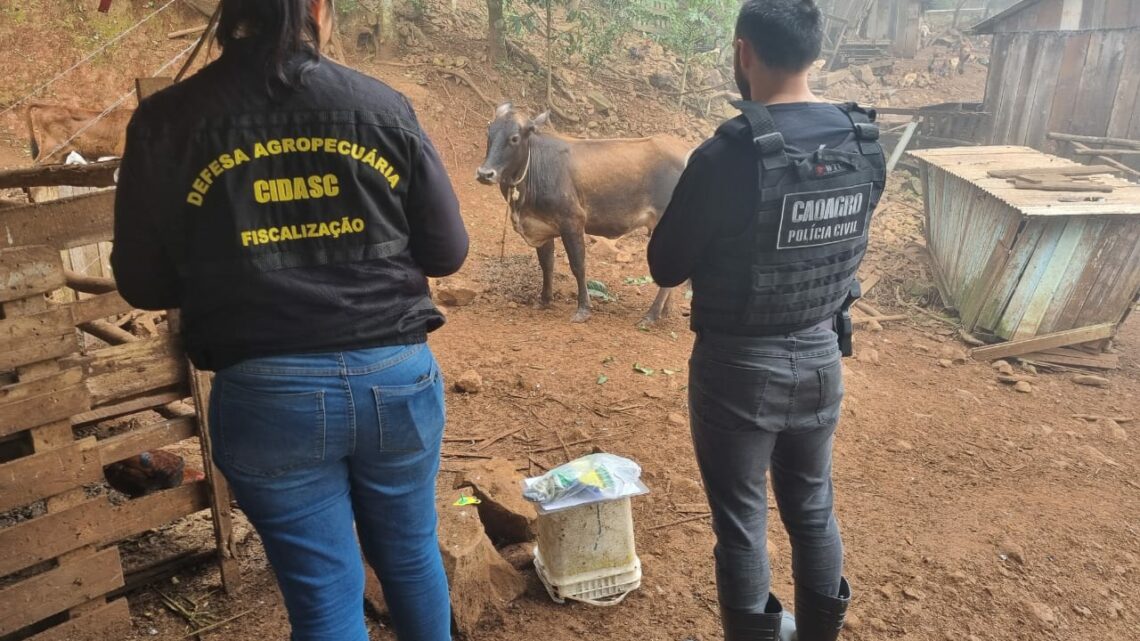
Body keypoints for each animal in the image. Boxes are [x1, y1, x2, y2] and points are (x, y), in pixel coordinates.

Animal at [474, 106, 684, 323]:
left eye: (514, 138)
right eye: (489, 133)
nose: (484, 173)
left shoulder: (573, 222)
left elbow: (578, 266)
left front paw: (583, 308)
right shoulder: (542, 227)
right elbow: (547, 264)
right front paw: (544, 300)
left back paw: (651, 315)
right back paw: (664, 312)